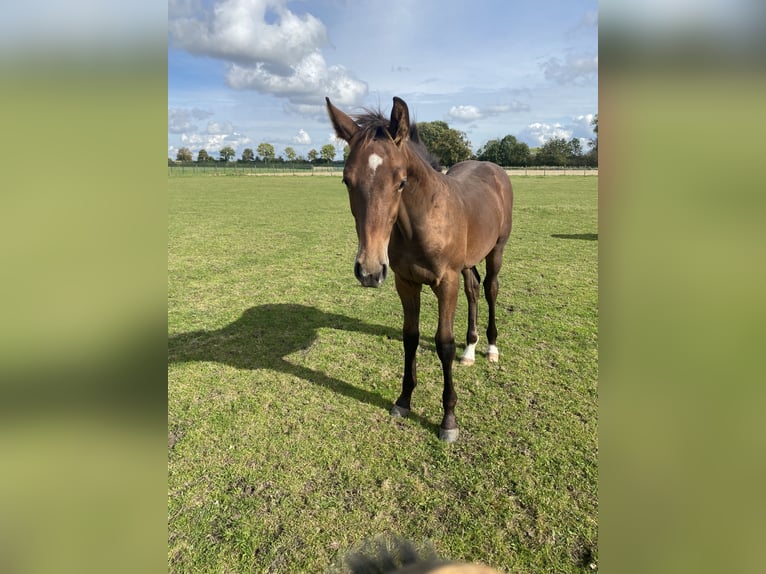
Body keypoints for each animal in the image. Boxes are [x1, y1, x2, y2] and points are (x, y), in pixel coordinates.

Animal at [328, 97, 512, 444]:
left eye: (401, 182)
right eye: (347, 180)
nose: (369, 270)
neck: (421, 222)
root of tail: (493, 168)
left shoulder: (446, 283)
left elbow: (444, 343)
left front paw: (449, 419)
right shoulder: (406, 282)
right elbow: (410, 337)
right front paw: (403, 401)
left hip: (496, 250)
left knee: (490, 289)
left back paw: (491, 348)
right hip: (468, 262)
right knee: (474, 289)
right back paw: (470, 351)